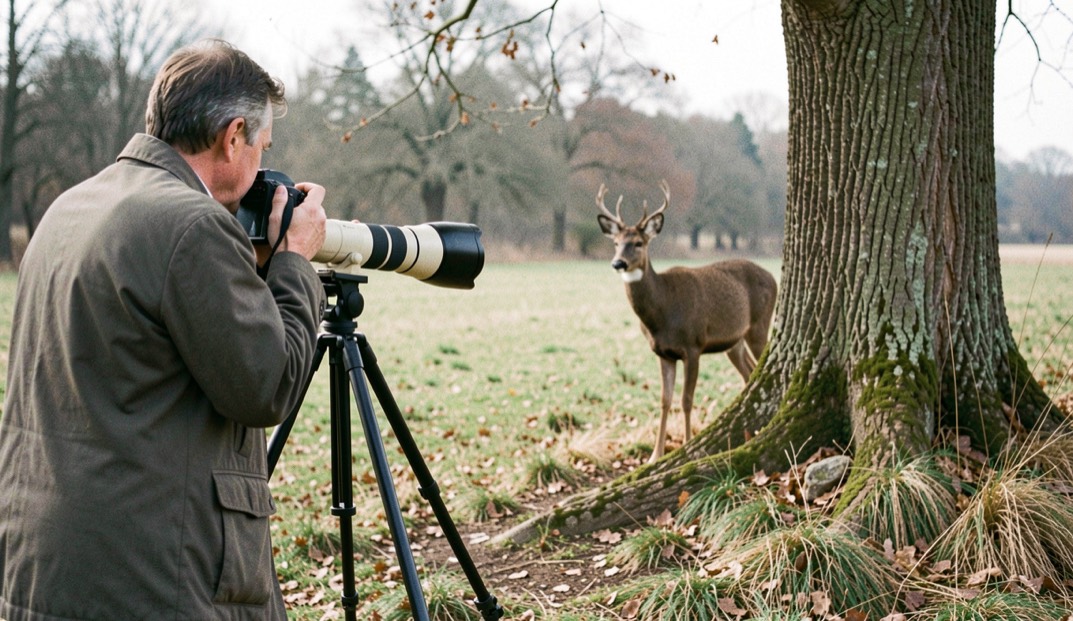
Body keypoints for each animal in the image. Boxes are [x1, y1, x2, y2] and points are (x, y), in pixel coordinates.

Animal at [596, 180, 777, 463]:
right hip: (734, 342)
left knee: (759, 364)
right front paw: (655, 455)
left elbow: (687, 399)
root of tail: (774, 277)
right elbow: (665, 400)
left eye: (638, 243)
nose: (618, 263)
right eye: (615, 242)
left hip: (759, 325)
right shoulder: (663, 353)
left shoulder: (693, 346)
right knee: (749, 373)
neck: (661, 314)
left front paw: (687, 445)